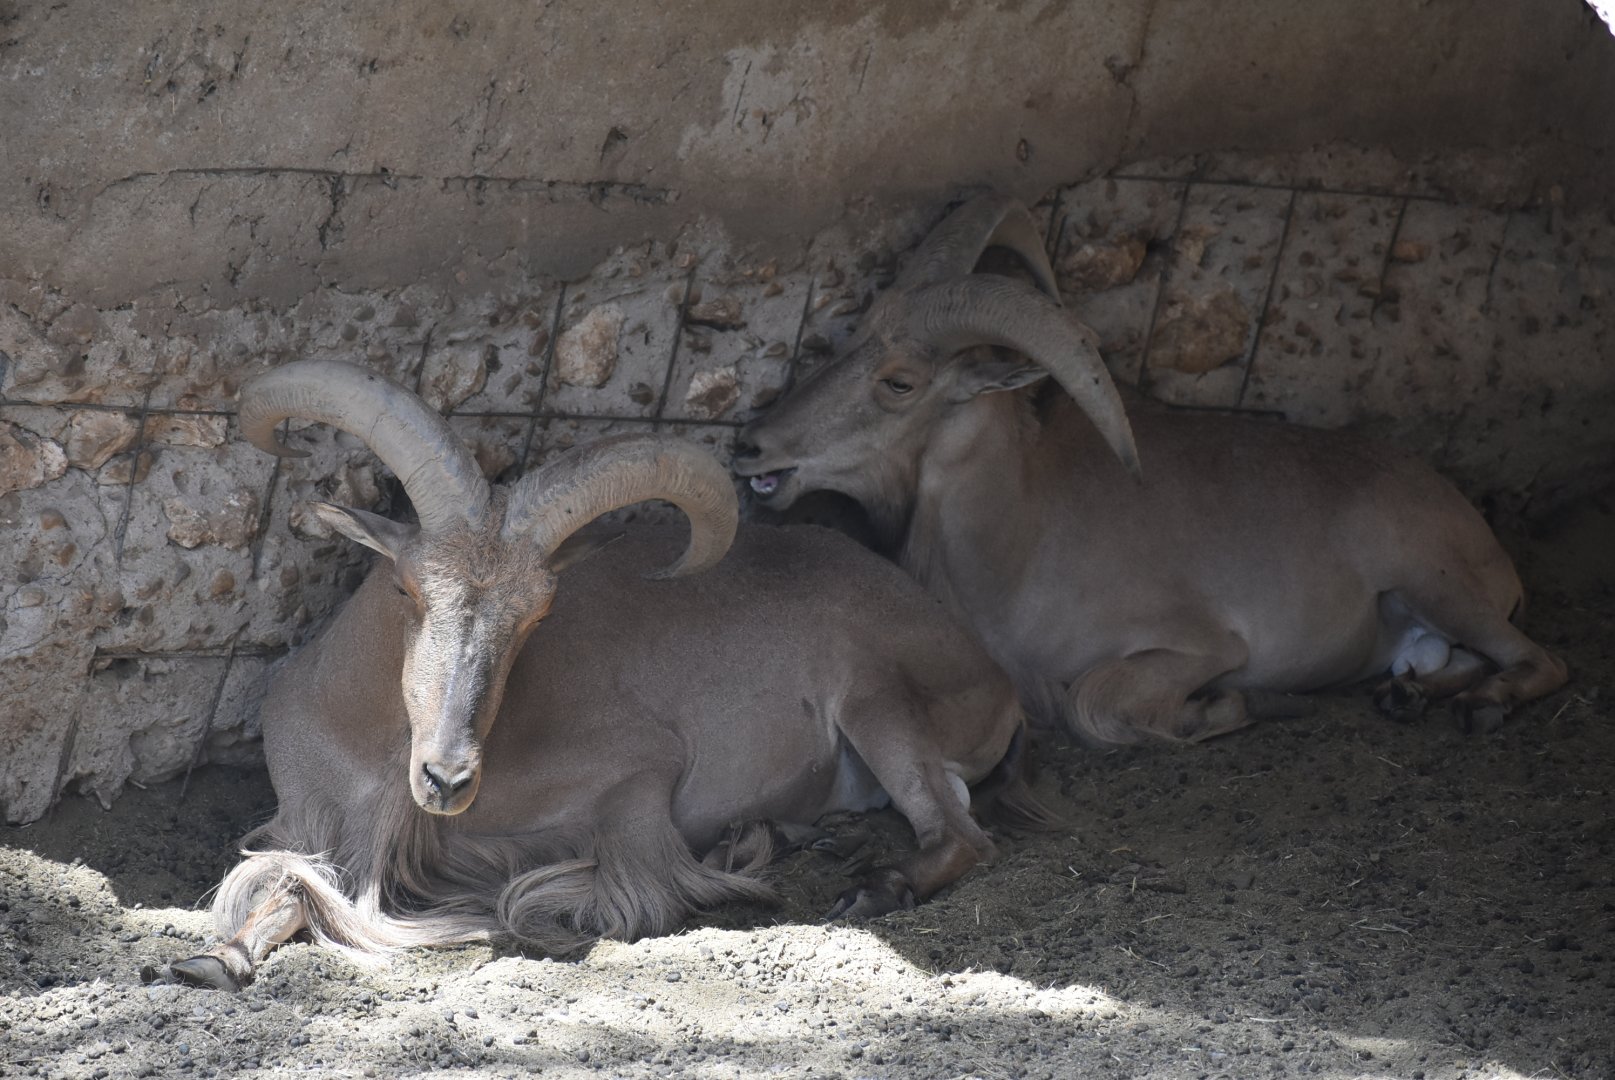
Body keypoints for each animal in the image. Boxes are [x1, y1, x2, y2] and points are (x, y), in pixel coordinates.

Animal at [159, 360, 1040, 990]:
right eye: (408, 589)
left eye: (537, 617)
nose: (447, 777)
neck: (376, 753)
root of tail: (992, 670)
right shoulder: (309, 817)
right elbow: (286, 883)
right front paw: (214, 957)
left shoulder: (637, 779)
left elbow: (610, 888)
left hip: (877, 699)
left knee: (960, 832)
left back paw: (872, 885)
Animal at [734, 194, 1567, 745]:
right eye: (850, 338)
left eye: (899, 382)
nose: (751, 445)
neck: (1014, 542)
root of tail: (1479, 532)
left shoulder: (1201, 646)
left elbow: (1094, 705)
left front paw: (1225, 709)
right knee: (1445, 659)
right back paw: (1410, 696)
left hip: (1434, 580)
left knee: (1539, 659)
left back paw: (1479, 702)